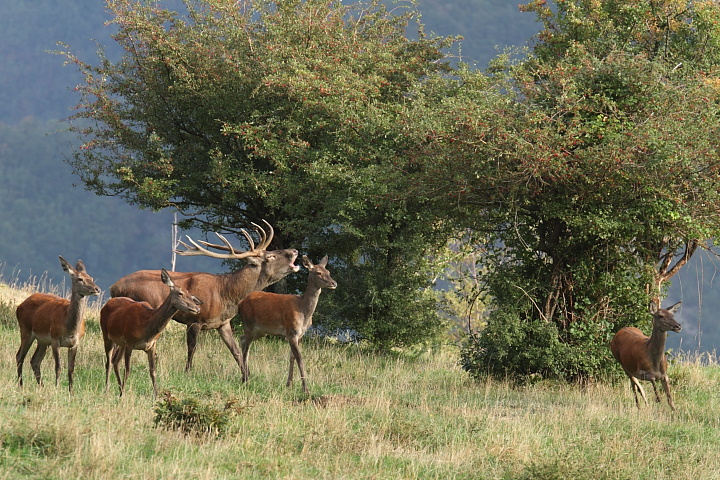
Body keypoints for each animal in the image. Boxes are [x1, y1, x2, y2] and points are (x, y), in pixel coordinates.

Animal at [15, 256, 100, 392]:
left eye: (91, 278)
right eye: (80, 279)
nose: (97, 289)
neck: (70, 328)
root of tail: (20, 306)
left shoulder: (75, 343)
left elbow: (71, 369)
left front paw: (71, 392)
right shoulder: (55, 339)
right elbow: (58, 366)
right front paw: (57, 388)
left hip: (43, 341)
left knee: (34, 360)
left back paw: (42, 386)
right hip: (26, 330)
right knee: (20, 356)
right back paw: (21, 385)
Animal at [101, 266, 202, 398]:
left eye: (191, 295)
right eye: (180, 293)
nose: (197, 308)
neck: (147, 326)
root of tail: (106, 304)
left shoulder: (151, 345)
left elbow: (153, 371)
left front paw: (156, 394)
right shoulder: (130, 342)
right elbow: (127, 370)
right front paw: (124, 394)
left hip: (121, 343)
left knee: (115, 362)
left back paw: (119, 389)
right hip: (106, 335)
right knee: (108, 363)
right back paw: (107, 390)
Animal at [107, 219, 298, 374]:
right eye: (271, 255)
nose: (295, 250)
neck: (227, 294)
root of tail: (113, 287)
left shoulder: (223, 323)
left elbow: (235, 350)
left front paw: (247, 375)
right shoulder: (194, 320)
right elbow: (192, 348)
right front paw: (187, 372)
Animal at [238, 255, 336, 394]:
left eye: (328, 272)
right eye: (318, 272)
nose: (334, 283)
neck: (303, 311)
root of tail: (240, 303)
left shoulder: (300, 334)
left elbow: (292, 357)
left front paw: (289, 384)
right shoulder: (291, 331)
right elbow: (299, 357)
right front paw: (305, 389)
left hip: (260, 331)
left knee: (242, 340)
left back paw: (245, 375)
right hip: (249, 324)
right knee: (246, 347)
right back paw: (246, 379)